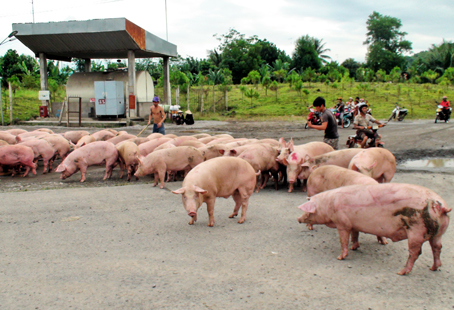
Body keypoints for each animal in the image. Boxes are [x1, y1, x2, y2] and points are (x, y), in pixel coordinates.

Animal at [298, 183, 450, 274]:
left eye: (307, 209)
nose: (298, 219)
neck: (328, 205)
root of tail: (440, 206)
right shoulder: (354, 224)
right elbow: (355, 235)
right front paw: (355, 247)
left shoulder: (342, 223)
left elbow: (343, 240)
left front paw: (340, 257)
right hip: (438, 233)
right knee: (437, 248)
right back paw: (433, 268)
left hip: (416, 231)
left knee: (416, 252)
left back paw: (401, 272)